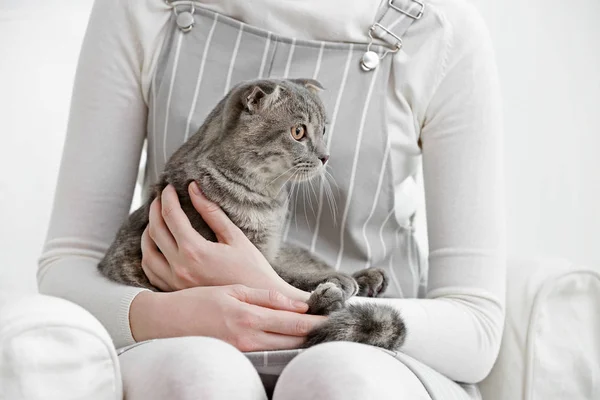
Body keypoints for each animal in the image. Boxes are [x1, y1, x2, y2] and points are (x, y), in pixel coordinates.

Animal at [98, 77, 408, 350]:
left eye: (323, 130)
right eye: (298, 132)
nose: (325, 156)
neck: (268, 201)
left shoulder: (269, 248)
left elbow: (286, 269)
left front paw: (349, 279)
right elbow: (278, 274)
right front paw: (336, 284)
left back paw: (367, 278)